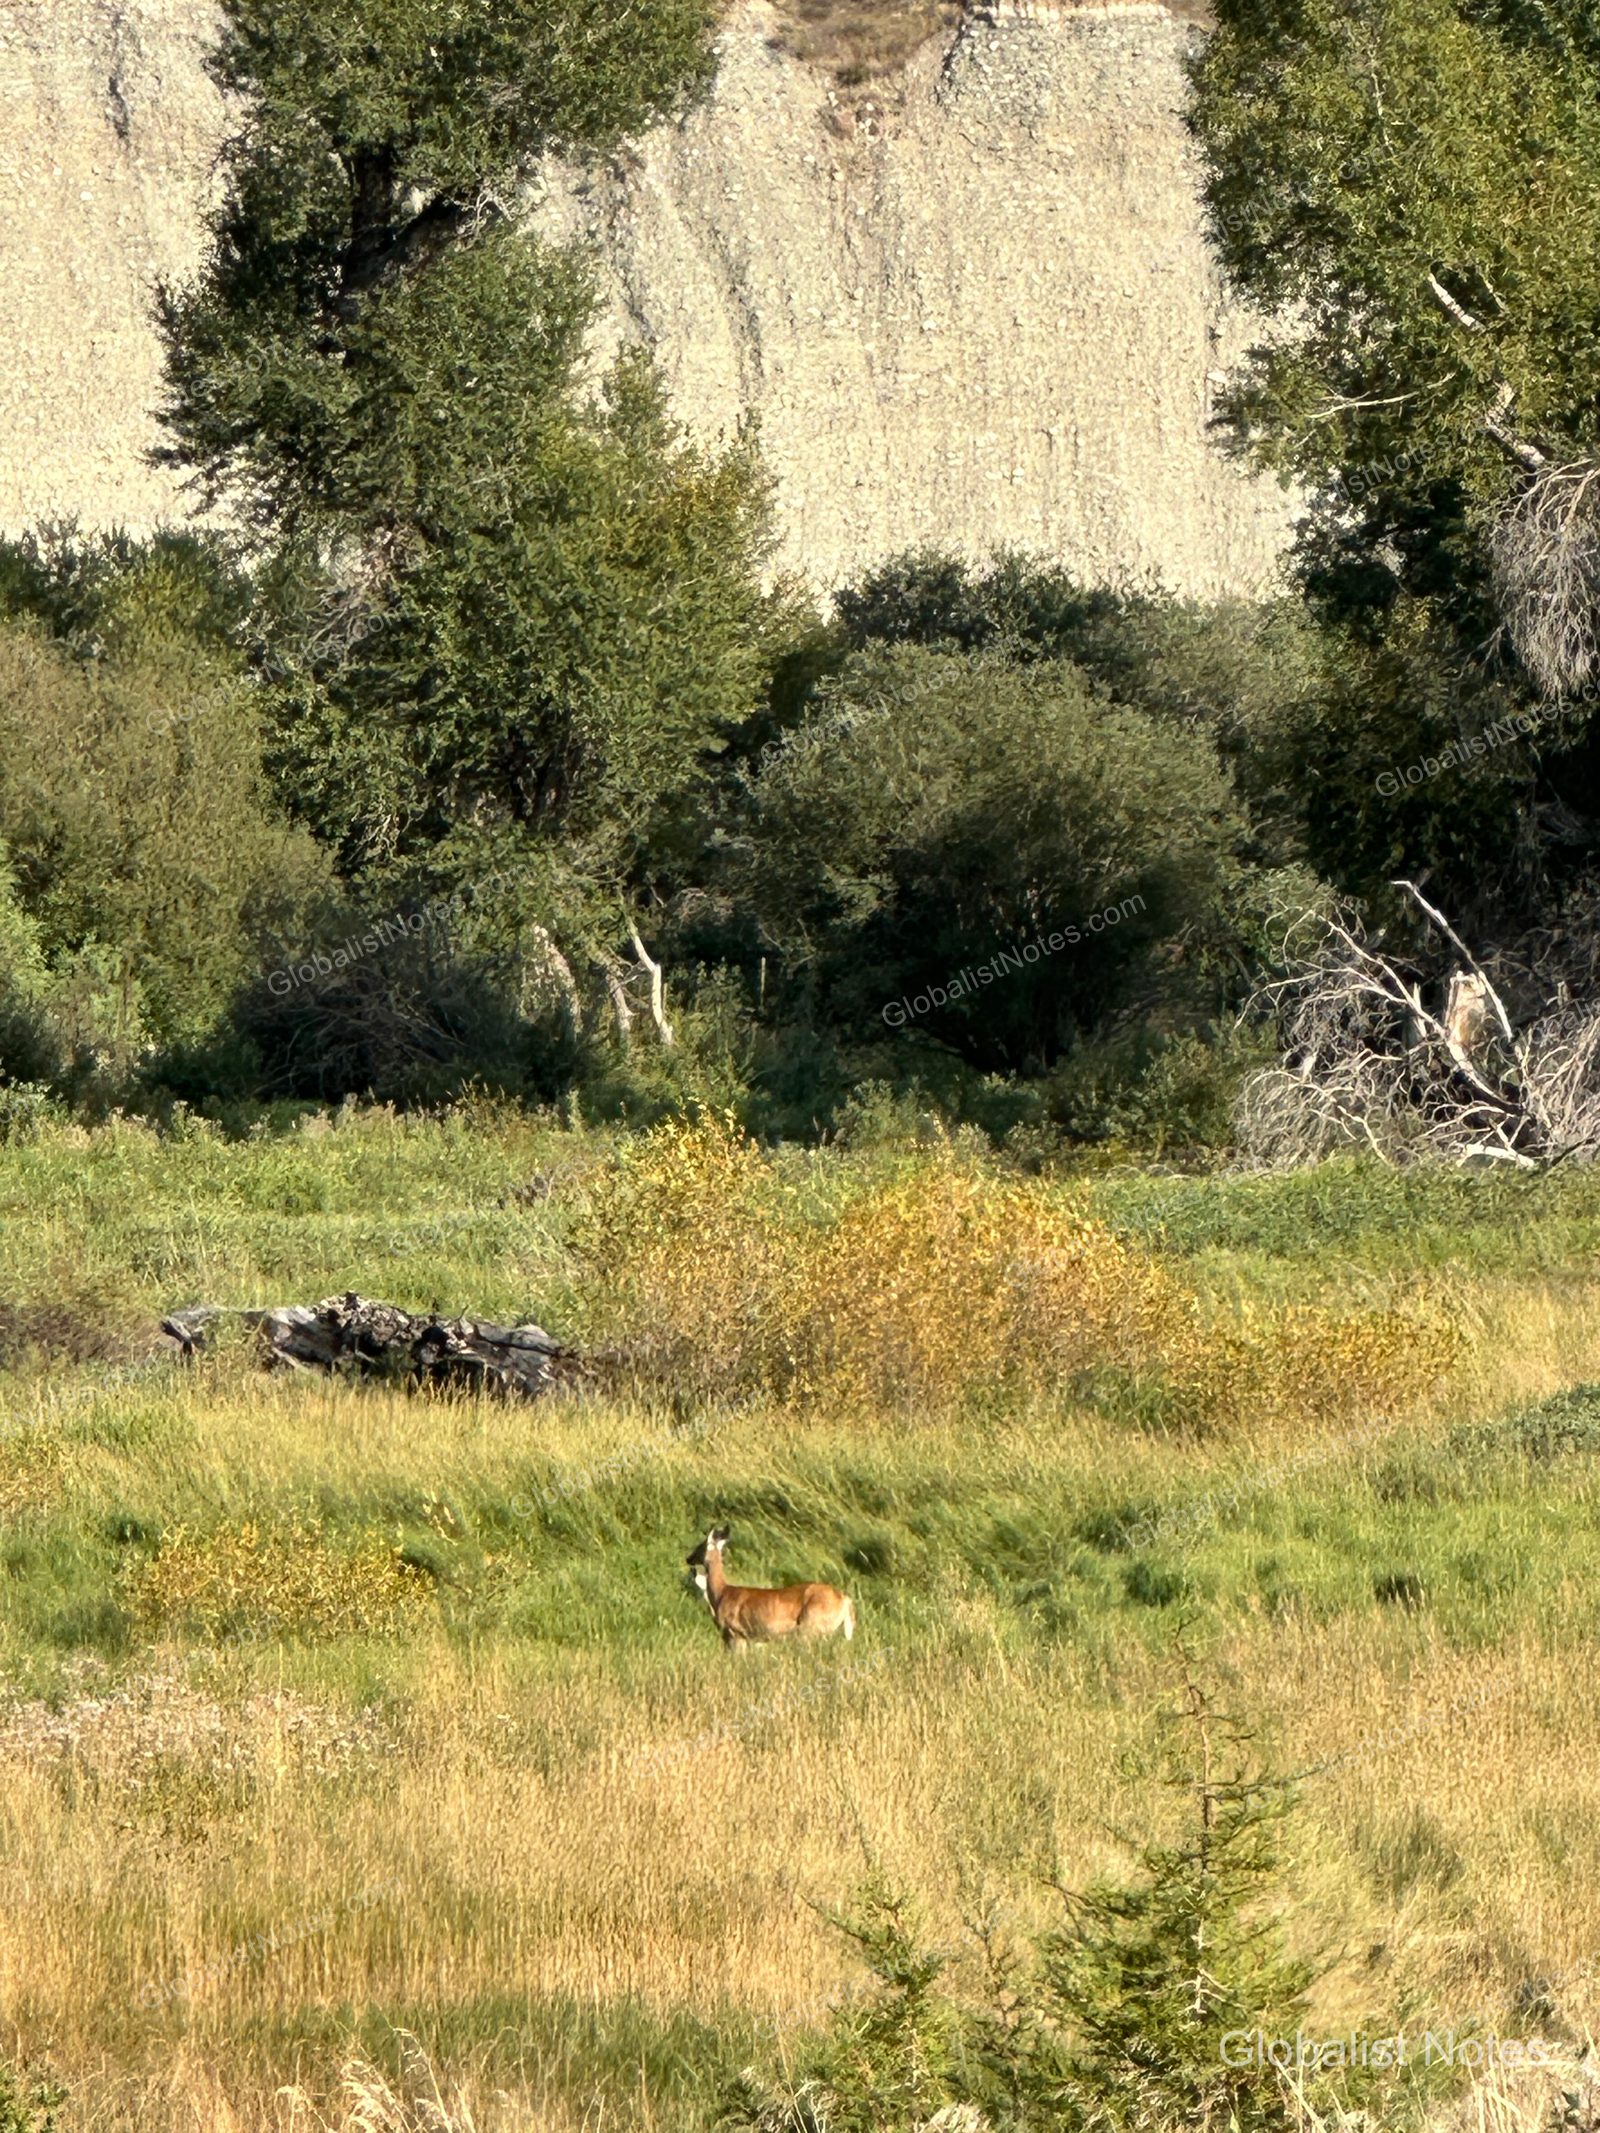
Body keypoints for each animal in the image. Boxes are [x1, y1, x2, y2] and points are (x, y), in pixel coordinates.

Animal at [684, 1527, 854, 1654]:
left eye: (700, 1545)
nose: (688, 1558)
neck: (721, 1593)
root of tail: (845, 1600)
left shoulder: (735, 1633)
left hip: (810, 1627)